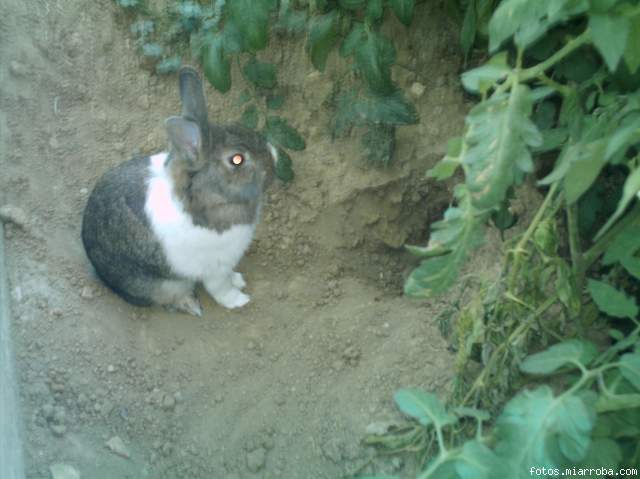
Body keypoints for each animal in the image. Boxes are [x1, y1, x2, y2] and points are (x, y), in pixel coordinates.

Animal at [80, 65, 278, 316]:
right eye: (237, 159)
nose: (275, 158)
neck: (204, 199)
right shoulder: (215, 267)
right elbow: (221, 289)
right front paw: (240, 300)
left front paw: (239, 279)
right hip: (165, 284)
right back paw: (190, 304)